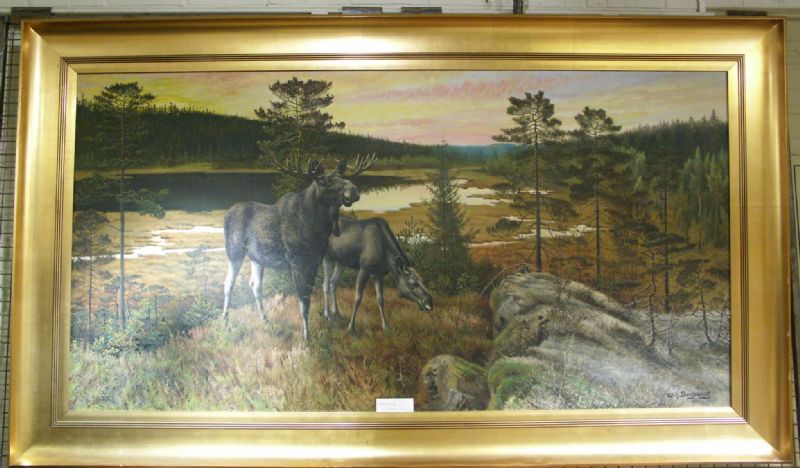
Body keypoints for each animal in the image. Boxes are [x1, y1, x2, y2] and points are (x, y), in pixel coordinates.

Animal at [222, 154, 376, 341]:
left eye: (342, 176)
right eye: (326, 180)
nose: (353, 191)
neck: (317, 227)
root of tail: (226, 214)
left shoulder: (314, 262)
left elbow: (309, 298)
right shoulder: (298, 264)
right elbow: (303, 302)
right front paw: (306, 337)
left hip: (257, 258)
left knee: (255, 286)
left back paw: (266, 320)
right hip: (234, 252)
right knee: (228, 284)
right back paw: (226, 325)